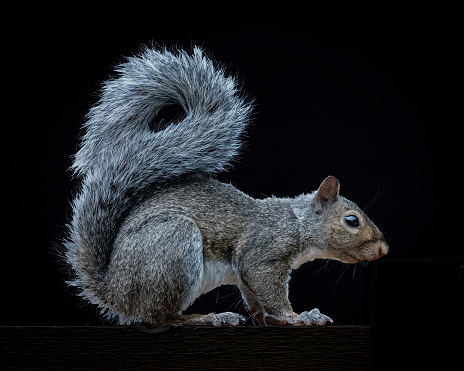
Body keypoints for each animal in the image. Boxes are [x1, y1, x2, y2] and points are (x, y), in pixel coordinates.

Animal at [64, 45, 388, 326]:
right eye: (352, 221)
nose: (384, 249)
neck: (296, 221)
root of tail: (115, 291)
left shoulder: (247, 274)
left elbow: (253, 295)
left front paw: (268, 318)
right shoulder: (263, 252)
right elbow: (266, 286)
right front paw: (297, 317)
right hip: (173, 246)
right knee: (161, 317)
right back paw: (205, 318)